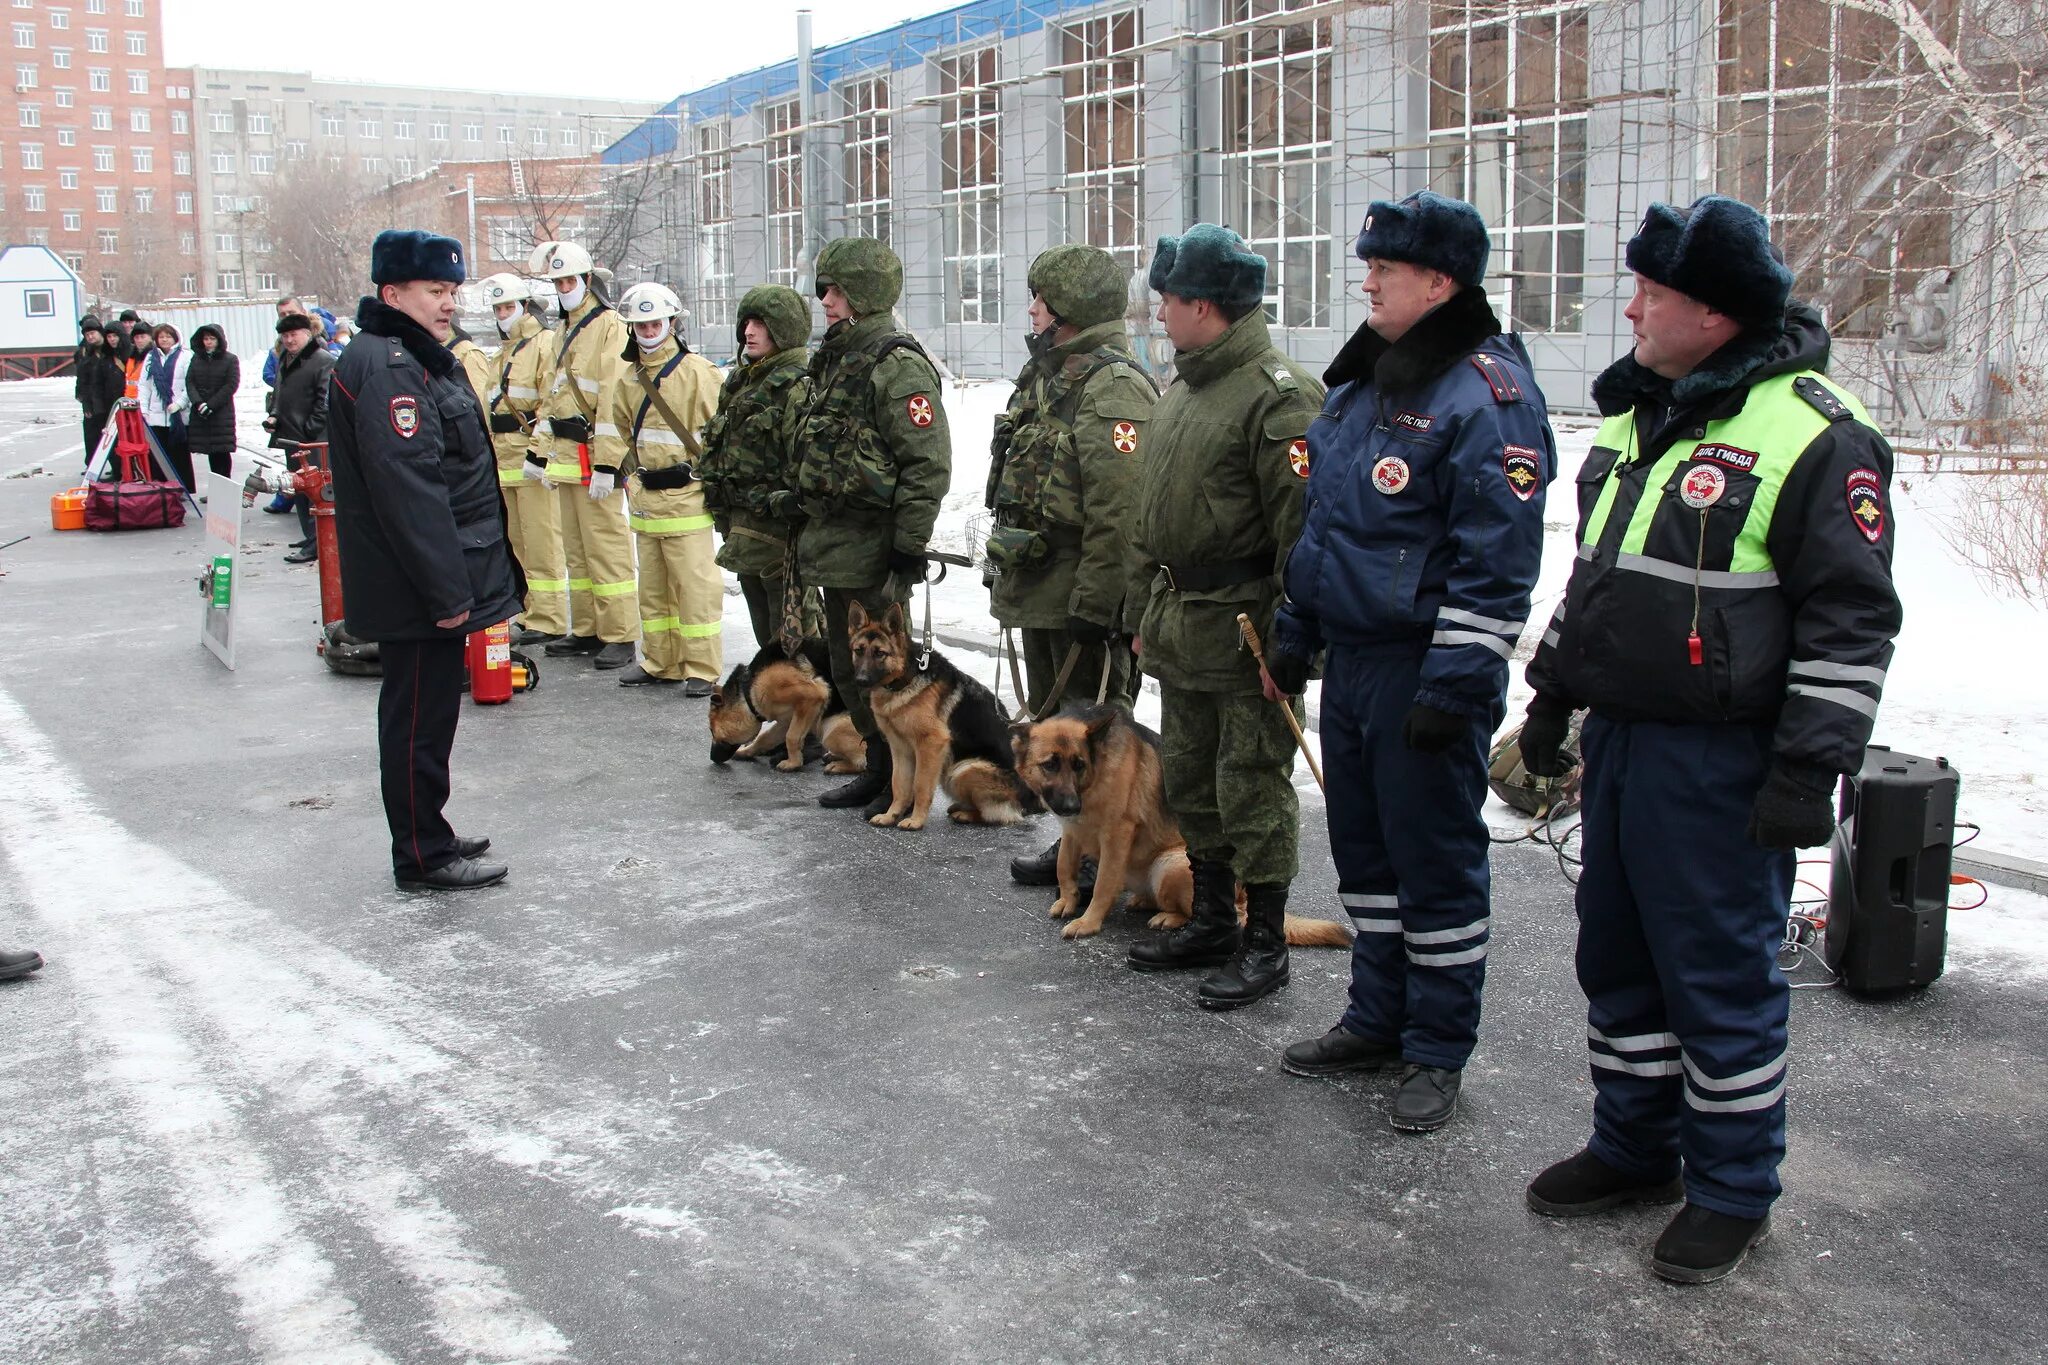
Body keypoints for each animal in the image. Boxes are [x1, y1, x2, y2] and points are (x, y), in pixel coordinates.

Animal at [712, 638, 864, 773]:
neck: (748, 688)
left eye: (712, 731)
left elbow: (791, 737)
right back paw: (834, 756)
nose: (712, 758)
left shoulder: (812, 695)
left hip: (831, 731)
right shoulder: (787, 720)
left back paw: (838, 766)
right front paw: (746, 751)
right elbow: (764, 738)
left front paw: (793, 763)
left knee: (862, 762)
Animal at [843, 605, 1040, 834]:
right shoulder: (900, 749)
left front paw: (916, 820)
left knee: (1000, 815)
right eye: (859, 650)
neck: (905, 678)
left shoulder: (930, 744)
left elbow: (920, 785)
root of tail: (1027, 802)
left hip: (962, 770)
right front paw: (890, 815)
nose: (860, 680)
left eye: (880, 653)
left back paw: (966, 814)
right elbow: (899, 784)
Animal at [1011, 703, 1359, 949]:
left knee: (1220, 916)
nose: (1071, 806)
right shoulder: (1072, 831)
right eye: (1050, 764)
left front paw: (1088, 922)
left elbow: (1103, 884)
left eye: (1079, 764)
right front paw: (1068, 901)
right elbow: (1063, 868)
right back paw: (1144, 901)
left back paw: (1169, 918)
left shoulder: (1116, 835)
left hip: (1170, 865)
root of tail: (1242, 898)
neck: (1097, 771)